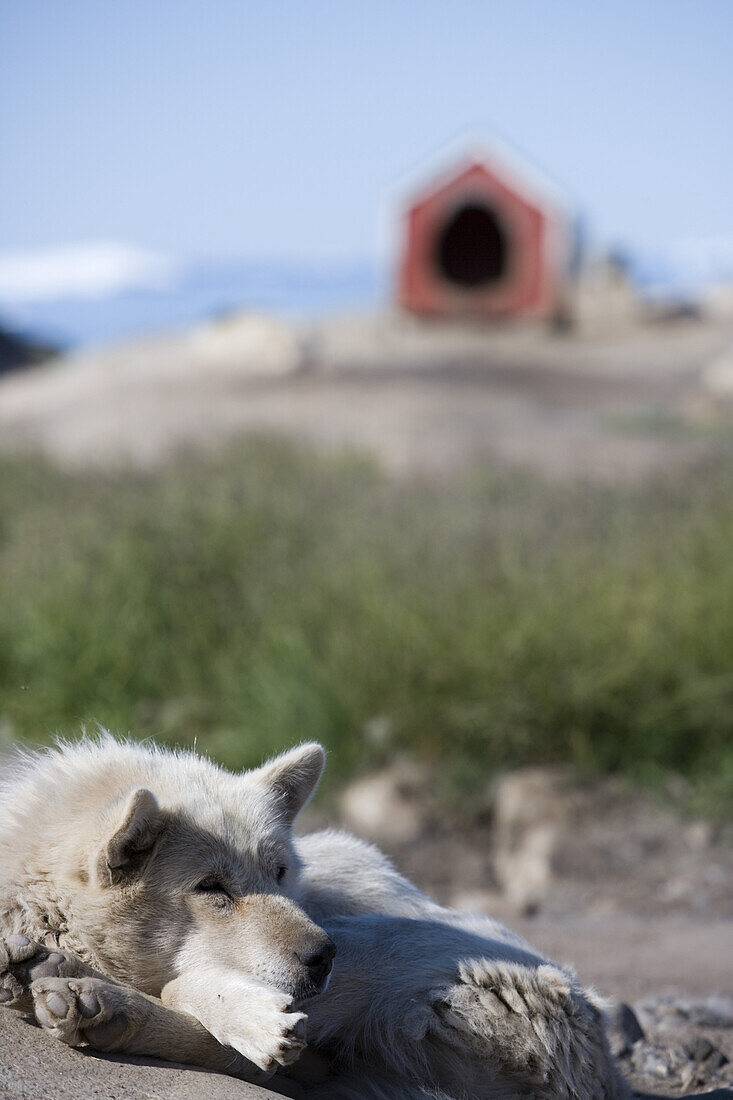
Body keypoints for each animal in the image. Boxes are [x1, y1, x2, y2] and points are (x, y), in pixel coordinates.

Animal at [0, 734, 629, 1100]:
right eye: (212, 888)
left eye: (279, 872)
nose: (323, 958)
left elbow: (192, 991)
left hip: (390, 946)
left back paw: (92, 1001)